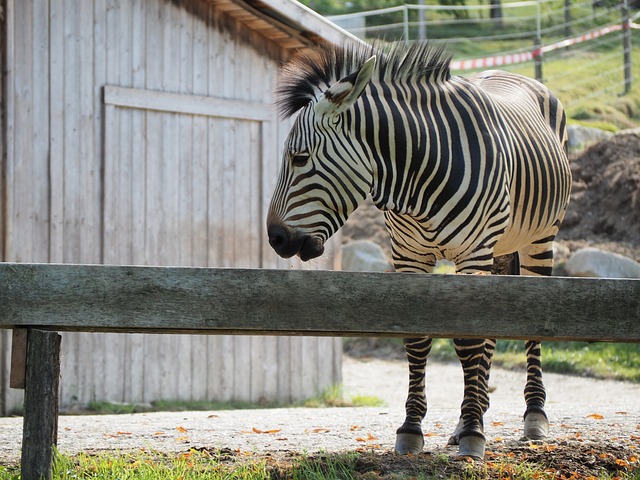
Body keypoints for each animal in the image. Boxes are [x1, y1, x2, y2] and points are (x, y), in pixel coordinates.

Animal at [264, 43, 568, 460]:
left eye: (299, 158)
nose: (275, 238)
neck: (419, 176)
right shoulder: (409, 255)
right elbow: (417, 338)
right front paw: (413, 428)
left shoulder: (473, 252)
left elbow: (469, 341)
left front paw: (473, 433)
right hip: (500, 248)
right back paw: (470, 414)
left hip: (539, 238)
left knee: (528, 329)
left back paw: (533, 415)